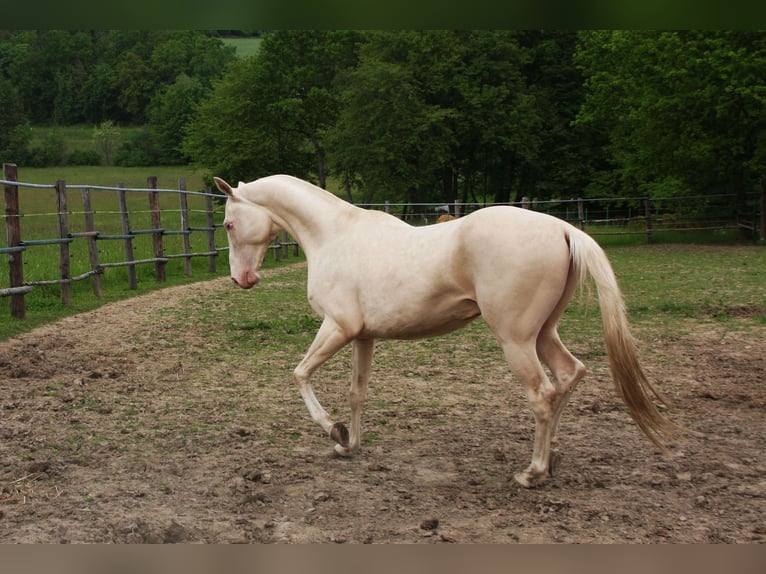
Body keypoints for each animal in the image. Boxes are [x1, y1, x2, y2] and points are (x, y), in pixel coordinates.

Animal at [214, 174, 680, 486]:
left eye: (228, 224)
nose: (241, 279)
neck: (335, 236)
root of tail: (563, 228)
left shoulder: (338, 328)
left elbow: (300, 374)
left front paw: (334, 429)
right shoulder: (363, 336)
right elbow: (356, 393)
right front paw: (349, 445)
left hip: (516, 340)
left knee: (543, 395)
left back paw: (531, 473)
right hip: (544, 333)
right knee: (569, 374)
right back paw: (551, 461)